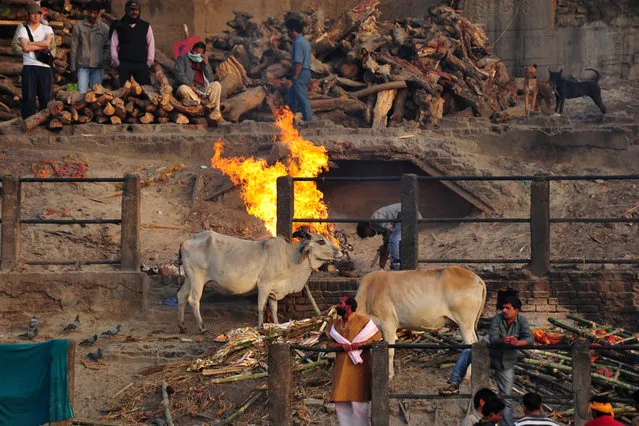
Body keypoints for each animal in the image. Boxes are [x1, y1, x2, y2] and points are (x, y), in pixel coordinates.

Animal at [178, 230, 342, 332]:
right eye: (321, 241)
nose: (341, 251)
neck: (288, 257)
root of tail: (186, 241)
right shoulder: (264, 285)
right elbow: (261, 307)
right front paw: (261, 327)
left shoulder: (274, 289)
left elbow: (274, 308)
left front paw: (277, 325)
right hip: (197, 278)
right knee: (193, 300)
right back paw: (202, 327)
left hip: (189, 278)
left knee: (181, 296)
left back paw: (182, 326)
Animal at [358, 266, 488, 376]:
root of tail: (475, 277)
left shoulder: (388, 324)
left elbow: (389, 352)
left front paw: (389, 375)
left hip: (465, 323)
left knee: (470, 344)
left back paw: (468, 375)